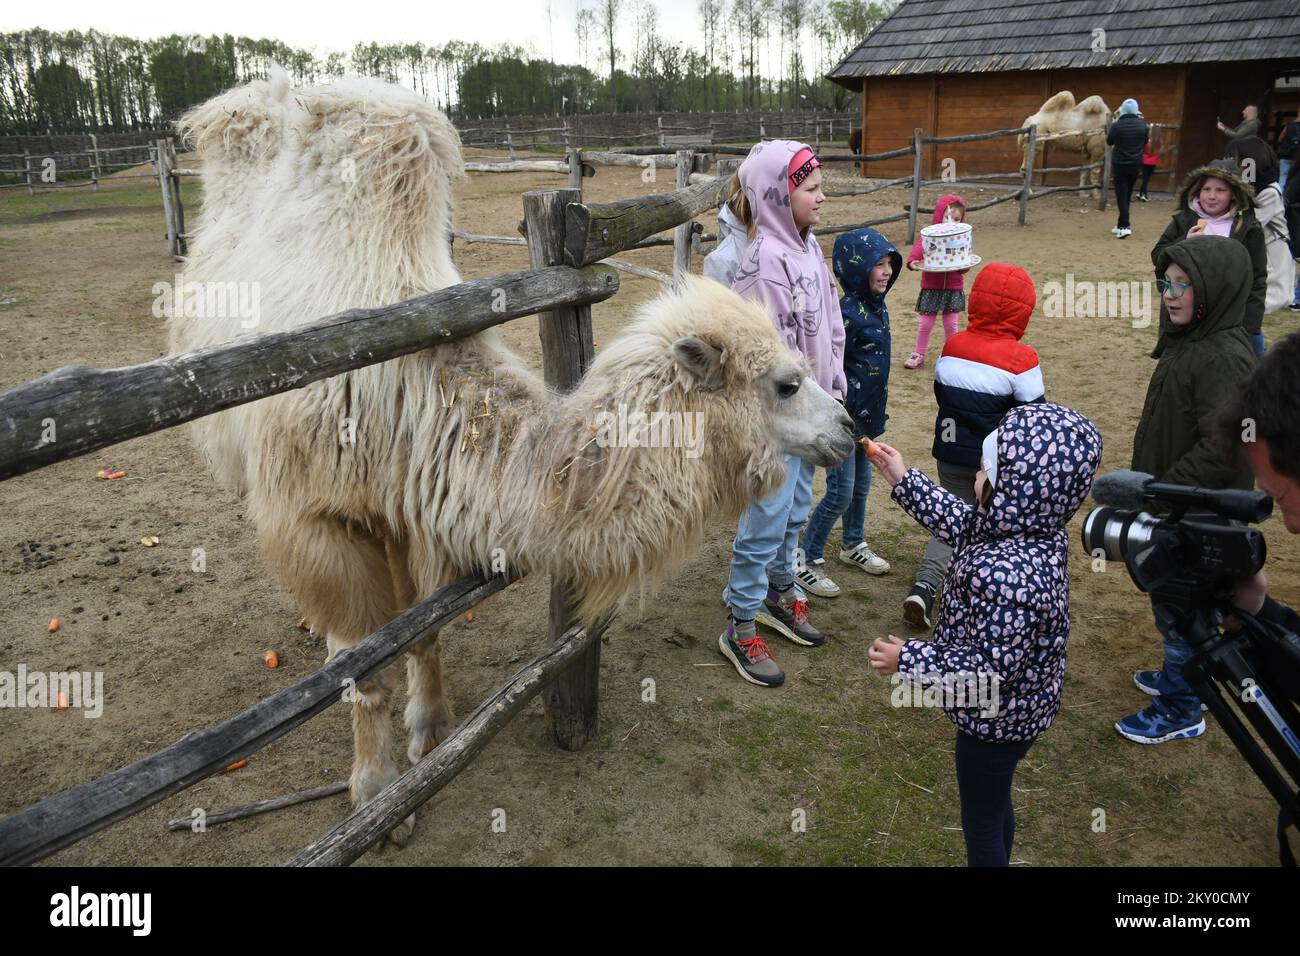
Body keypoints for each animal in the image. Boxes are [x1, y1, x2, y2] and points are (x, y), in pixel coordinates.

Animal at [170, 72, 852, 842]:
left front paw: (429, 731)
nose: (848, 424)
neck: (403, 398)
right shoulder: (315, 514)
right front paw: (377, 798)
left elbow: (423, 630)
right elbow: (367, 671)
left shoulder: (421, 506)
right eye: (785, 383)